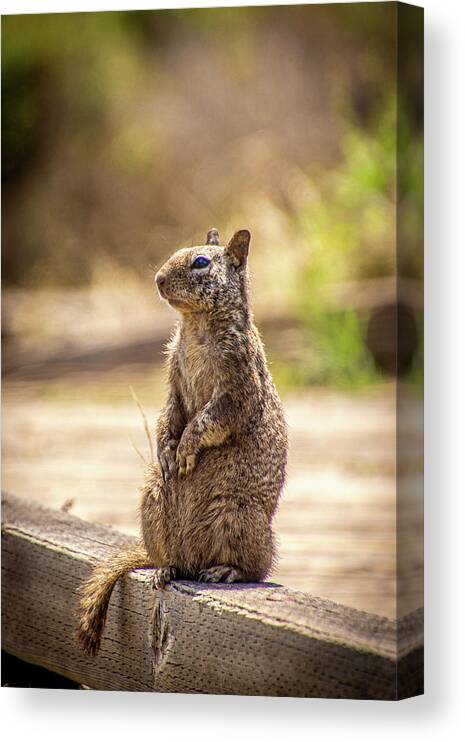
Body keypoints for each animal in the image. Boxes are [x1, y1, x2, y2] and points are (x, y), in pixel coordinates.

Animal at [76, 228, 286, 656]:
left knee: (256, 568)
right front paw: (167, 451)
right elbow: (169, 412)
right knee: (177, 561)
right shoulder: (172, 374)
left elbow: (211, 418)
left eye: (201, 262)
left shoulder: (237, 384)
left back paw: (225, 571)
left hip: (239, 518)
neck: (194, 325)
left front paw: (187, 449)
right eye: (175, 252)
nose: (157, 279)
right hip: (154, 505)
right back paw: (167, 568)